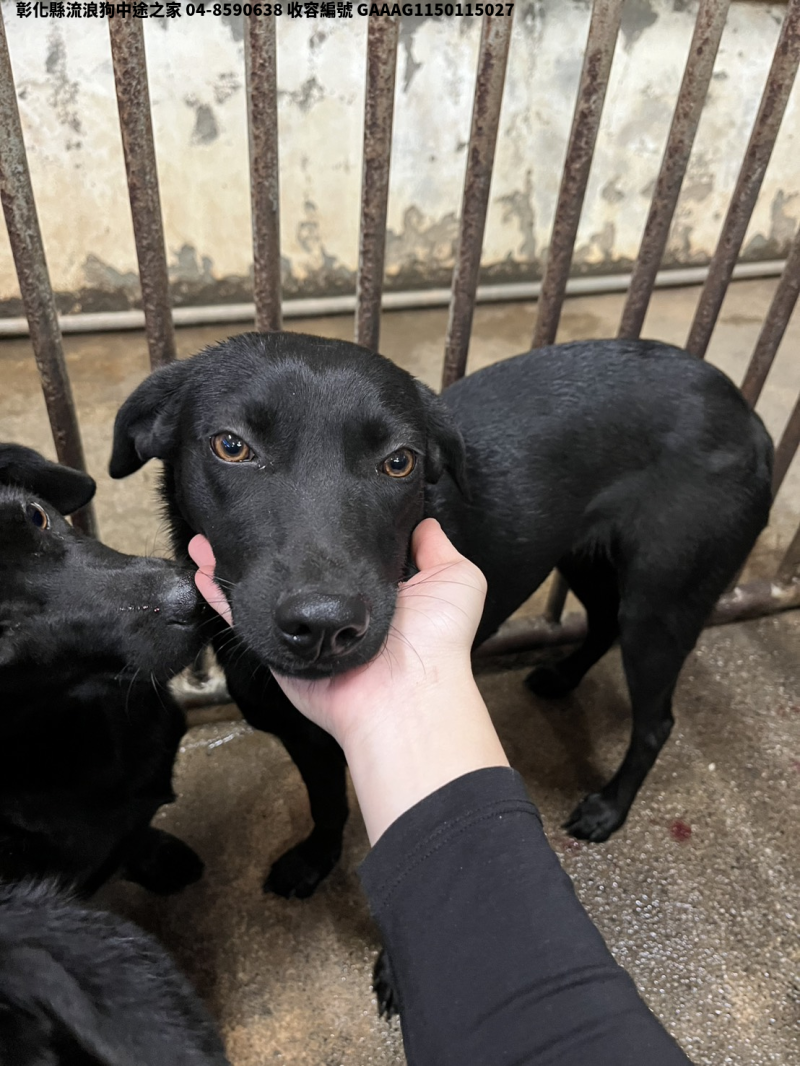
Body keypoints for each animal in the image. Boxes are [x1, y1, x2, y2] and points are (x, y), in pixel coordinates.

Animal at [110, 333, 772, 898]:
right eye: (232, 446)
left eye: (400, 462)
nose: (325, 626)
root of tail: (747, 413)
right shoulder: (307, 739)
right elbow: (328, 805)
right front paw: (316, 861)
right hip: (584, 557)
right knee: (603, 624)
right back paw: (560, 677)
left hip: (661, 603)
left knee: (655, 719)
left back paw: (608, 808)